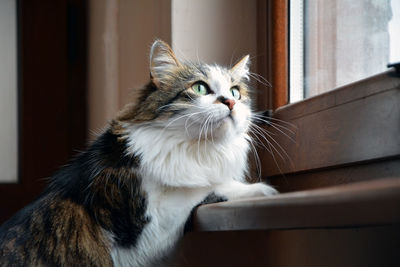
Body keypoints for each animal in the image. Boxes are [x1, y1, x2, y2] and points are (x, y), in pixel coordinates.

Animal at [0, 40, 278, 267]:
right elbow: (202, 186)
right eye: (200, 88)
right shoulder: (148, 230)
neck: (195, 148)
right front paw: (262, 189)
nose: (230, 102)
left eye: (235, 92)